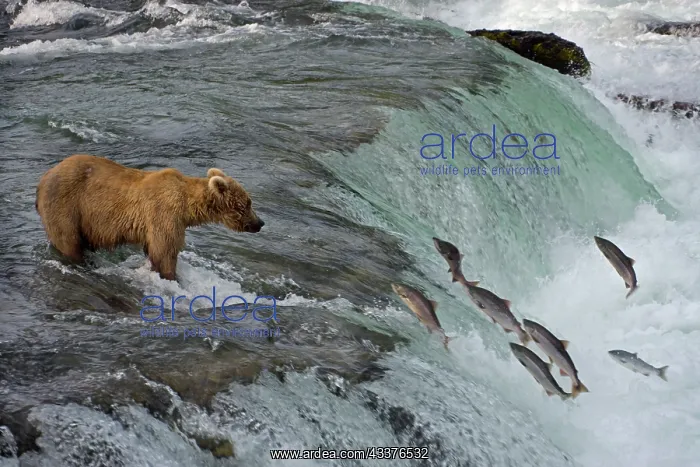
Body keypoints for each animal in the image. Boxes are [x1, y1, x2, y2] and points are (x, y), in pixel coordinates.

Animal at [35, 154, 264, 281]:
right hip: (67, 206)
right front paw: (172, 278)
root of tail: (43, 178)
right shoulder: (164, 215)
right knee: (68, 241)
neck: (187, 206)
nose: (260, 223)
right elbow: (165, 251)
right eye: (247, 203)